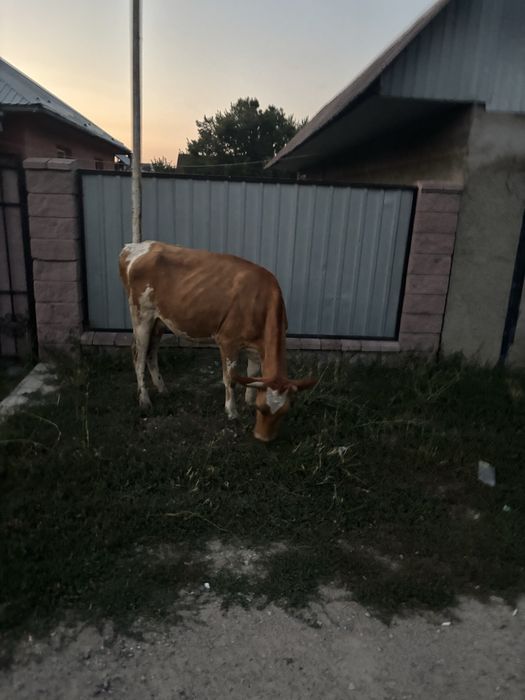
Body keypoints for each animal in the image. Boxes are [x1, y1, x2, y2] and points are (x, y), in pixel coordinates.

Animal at [119, 241, 316, 441]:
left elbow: (253, 373)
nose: (263, 438)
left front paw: (249, 401)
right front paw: (232, 412)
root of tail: (136, 246)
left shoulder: (256, 346)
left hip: (159, 321)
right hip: (141, 315)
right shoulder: (228, 340)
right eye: (262, 408)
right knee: (138, 356)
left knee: (151, 353)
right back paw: (144, 400)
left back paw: (162, 389)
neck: (259, 302)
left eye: (284, 411)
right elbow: (230, 378)